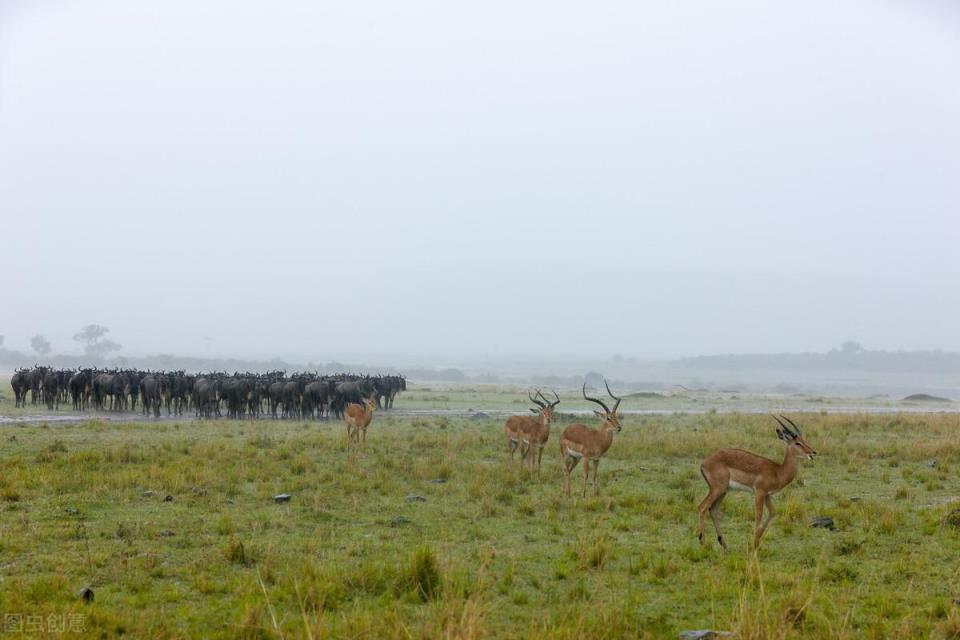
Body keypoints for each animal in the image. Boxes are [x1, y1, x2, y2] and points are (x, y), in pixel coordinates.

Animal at [696, 416, 816, 552]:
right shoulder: (759, 492)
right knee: (702, 507)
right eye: (797, 443)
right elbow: (758, 515)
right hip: (717, 489)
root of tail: (704, 463)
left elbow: (772, 512)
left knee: (713, 510)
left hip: (724, 491)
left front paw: (756, 542)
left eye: (804, 440)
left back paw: (724, 545)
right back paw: (703, 543)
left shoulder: (767, 495)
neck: (778, 471)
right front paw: (752, 544)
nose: (813, 453)